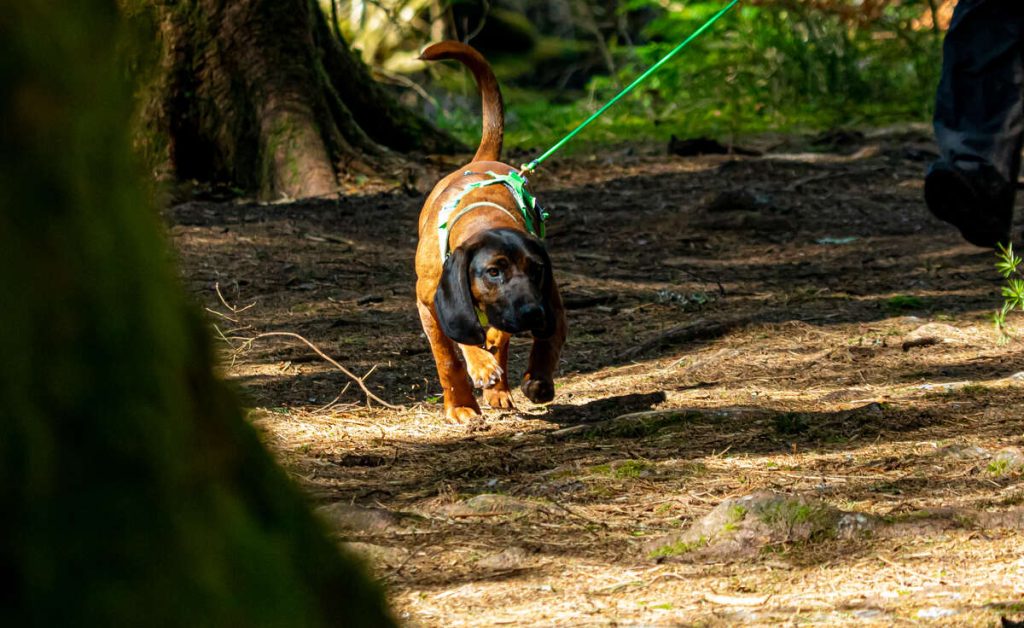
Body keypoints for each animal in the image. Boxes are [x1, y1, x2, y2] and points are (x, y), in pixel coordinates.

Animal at [413, 40, 565, 422]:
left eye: (536, 269)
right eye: (493, 271)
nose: (532, 314)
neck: (484, 216)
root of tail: (481, 159)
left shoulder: (549, 297)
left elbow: (546, 340)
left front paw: (538, 379)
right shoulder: (430, 302)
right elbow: (449, 355)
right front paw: (462, 404)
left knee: (499, 338)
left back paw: (499, 387)